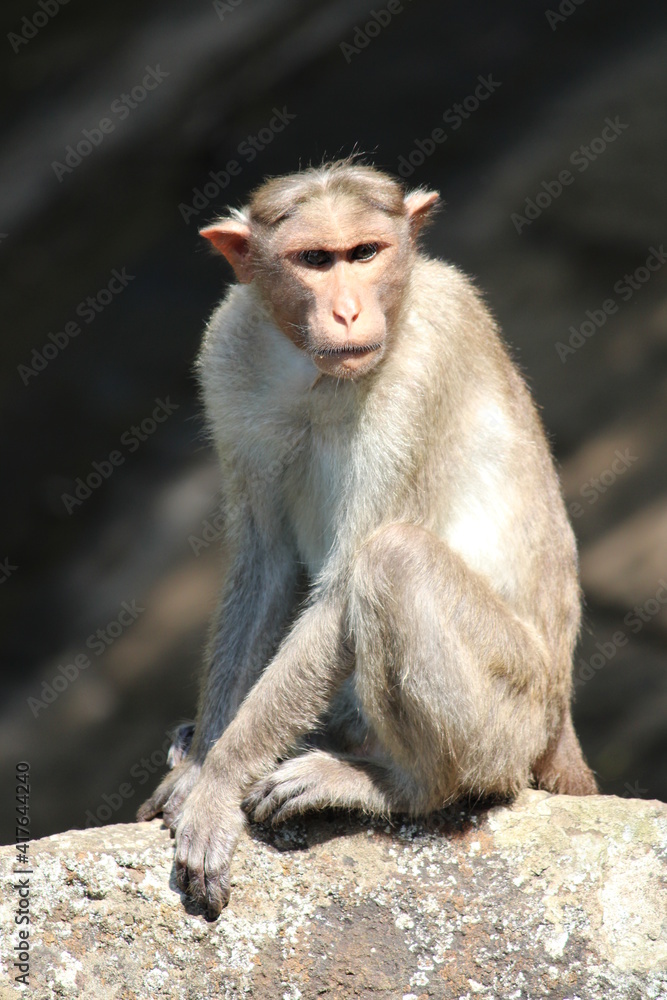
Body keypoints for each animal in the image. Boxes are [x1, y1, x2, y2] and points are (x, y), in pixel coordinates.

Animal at [138, 158, 597, 918]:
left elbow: (344, 586)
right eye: (314, 261)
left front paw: (217, 783)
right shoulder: (227, 349)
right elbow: (265, 565)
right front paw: (201, 762)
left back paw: (401, 786)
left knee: (395, 560)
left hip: (513, 720)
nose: (349, 311)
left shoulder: (421, 367)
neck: (315, 377)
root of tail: (559, 726)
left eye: (365, 253)